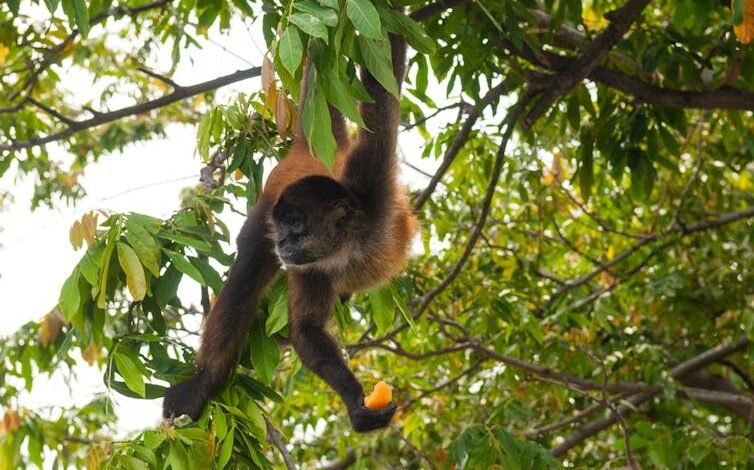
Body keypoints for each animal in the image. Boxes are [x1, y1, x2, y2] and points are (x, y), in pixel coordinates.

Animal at [162, 32, 414, 434]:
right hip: (262, 216)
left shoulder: (370, 183)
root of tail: (308, 153)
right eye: (282, 226)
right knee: (244, 280)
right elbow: (306, 329)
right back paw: (203, 383)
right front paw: (355, 402)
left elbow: (381, 87)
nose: (281, 240)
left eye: (296, 225)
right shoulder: (308, 264)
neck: (349, 244)